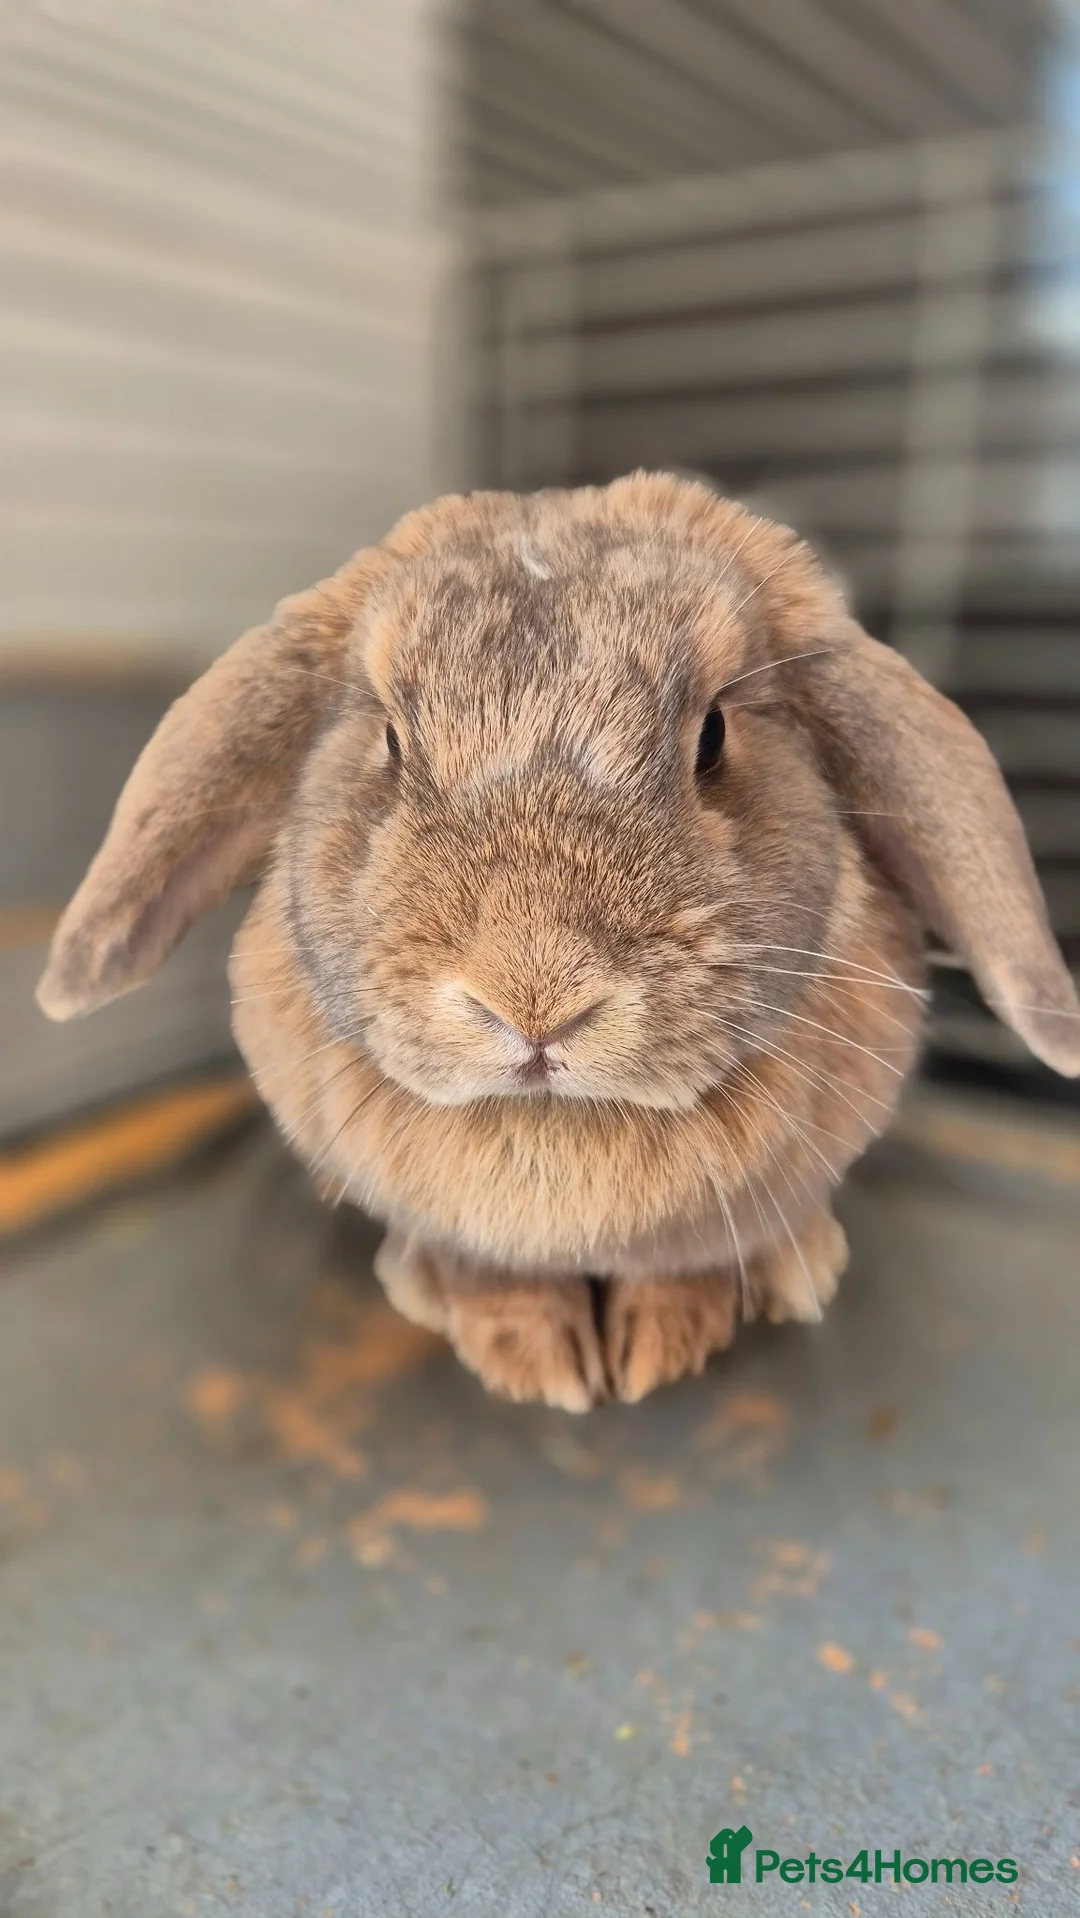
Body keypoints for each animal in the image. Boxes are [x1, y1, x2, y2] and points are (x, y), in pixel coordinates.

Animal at [37, 474, 1080, 1411]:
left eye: (713, 735)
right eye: (390, 742)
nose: (534, 1000)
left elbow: (684, 1267)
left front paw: (667, 1341)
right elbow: (499, 1282)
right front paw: (535, 1359)